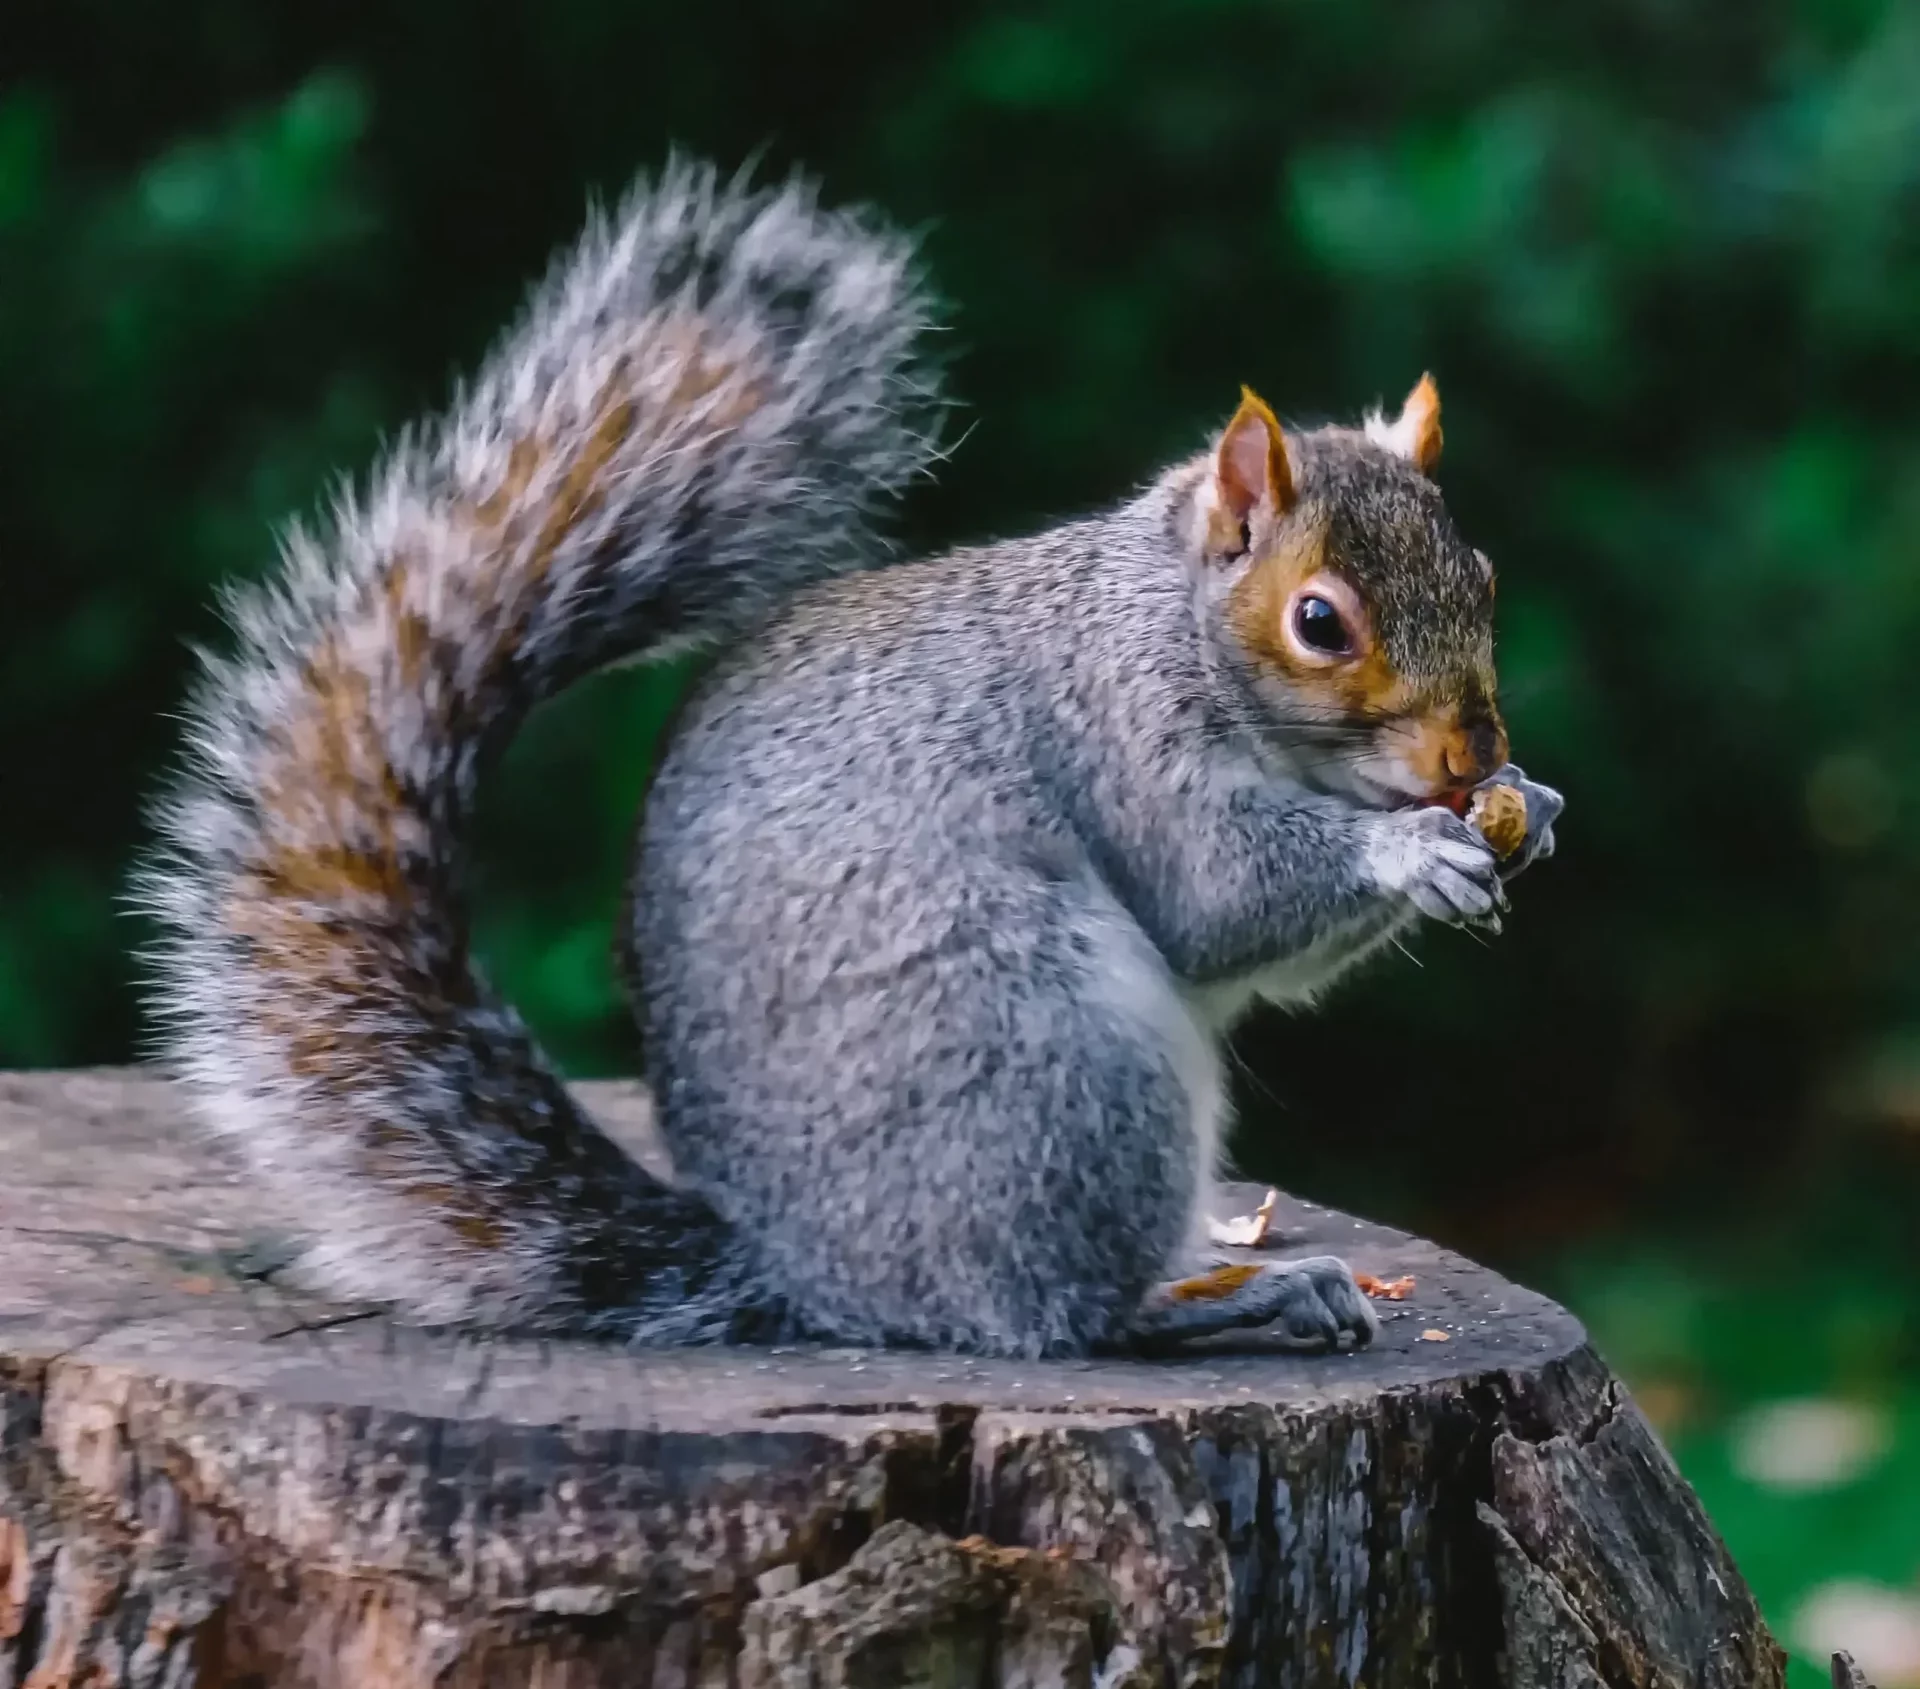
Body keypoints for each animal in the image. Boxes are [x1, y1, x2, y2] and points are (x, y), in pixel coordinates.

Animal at [140, 158, 1562, 1359]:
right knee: (1057, 1315)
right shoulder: (1118, 738)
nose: (1472, 751)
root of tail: (806, 1277)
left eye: (1486, 574)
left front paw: (1528, 810)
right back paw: (1229, 1299)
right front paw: (1411, 850)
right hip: (1054, 1064)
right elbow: (1218, 901)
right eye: (1321, 622)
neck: (1168, 621)